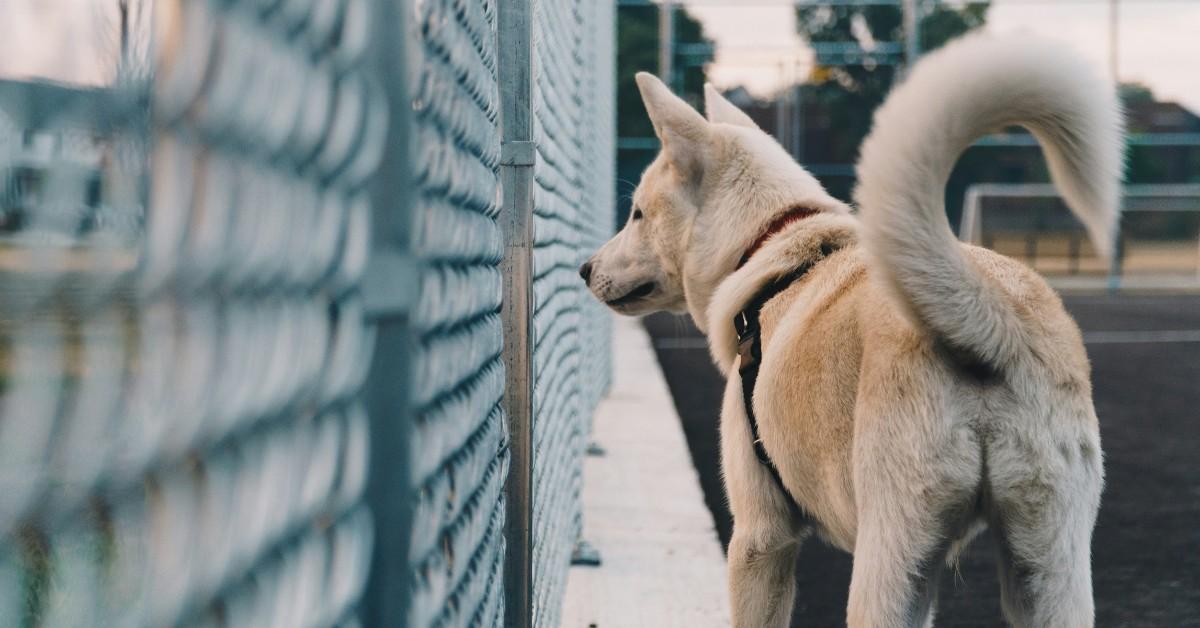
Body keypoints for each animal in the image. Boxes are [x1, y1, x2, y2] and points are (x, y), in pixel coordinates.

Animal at [580, 33, 1123, 628]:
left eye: (636, 213)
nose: (584, 269)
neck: (771, 243)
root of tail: (989, 315)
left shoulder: (760, 538)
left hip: (890, 561)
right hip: (1045, 566)